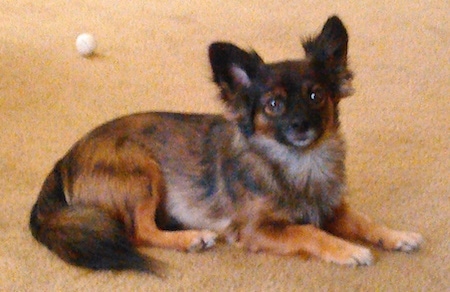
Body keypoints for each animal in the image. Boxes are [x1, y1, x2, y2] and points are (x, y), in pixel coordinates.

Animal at [29, 16, 424, 274]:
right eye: (273, 104)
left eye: (316, 96)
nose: (300, 126)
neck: (298, 161)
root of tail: (64, 160)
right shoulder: (257, 230)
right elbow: (309, 231)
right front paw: (348, 250)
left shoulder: (332, 208)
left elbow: (364, 221)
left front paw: (396, 236)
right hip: (143, 171)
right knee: (139, 232)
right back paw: (191, 238)